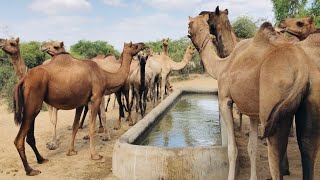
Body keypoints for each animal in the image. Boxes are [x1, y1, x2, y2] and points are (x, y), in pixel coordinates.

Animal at [11, 41, 144, 176]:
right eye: (134, 45)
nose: (143, 44)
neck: (105, 76)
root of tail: (23, 80)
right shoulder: (96, 97)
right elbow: (92, 126)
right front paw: (95, 155)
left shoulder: (81, 102)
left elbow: (75, 126)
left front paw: (71, 151)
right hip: (33, 104)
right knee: (19, 139)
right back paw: (30, 170)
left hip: (31, 105)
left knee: (28, 136)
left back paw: (41, 159)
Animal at [188, 14, 320, 180]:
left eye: (189, 25)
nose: (189, 39)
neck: (221, 67)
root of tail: (303, 69)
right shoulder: (252, 112)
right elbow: (252, 148)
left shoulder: (224, 100)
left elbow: (232, 150)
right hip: (311, 98)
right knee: (307, 145)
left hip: (272, 110)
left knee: (276, 157)